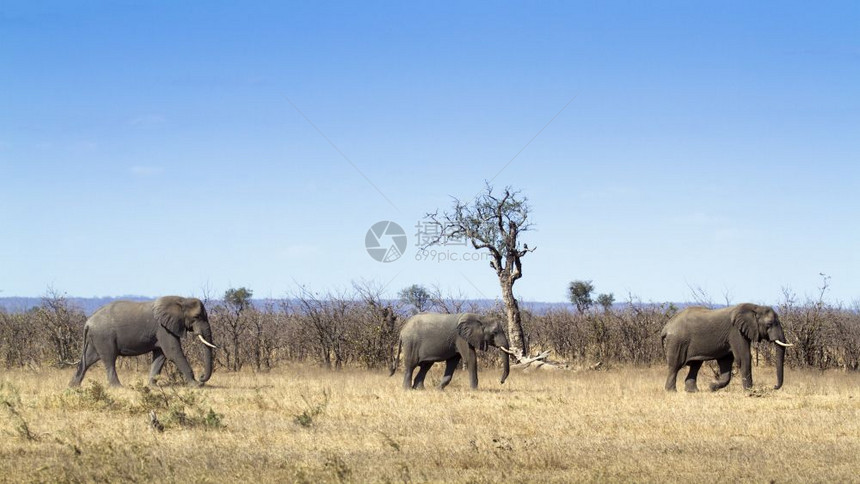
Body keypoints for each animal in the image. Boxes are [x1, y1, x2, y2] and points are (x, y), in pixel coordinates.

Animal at [71, 296, 218, 388]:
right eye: (197, 317)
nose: (201, 376)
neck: (181, 300)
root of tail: (87, 322)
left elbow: (160, 356)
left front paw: (152, 386)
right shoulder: (163, 328)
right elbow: (173, 353)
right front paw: (196, 385)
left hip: (95, 338)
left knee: (88, 360)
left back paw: (73, 387)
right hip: (104, 336)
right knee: (109, 359)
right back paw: (118, 387)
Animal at [664, 302, 792, 394]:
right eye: (769, 324)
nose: (774, 386)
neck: (755, 307)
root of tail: (667, 326)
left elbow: (726, 361)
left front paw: (712, 387)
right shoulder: (736, 331)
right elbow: (743, 357)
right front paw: (751, 392)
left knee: (695, 365)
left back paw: (693, 391)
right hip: (677, 342)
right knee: (675, 365)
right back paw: (672, 392)